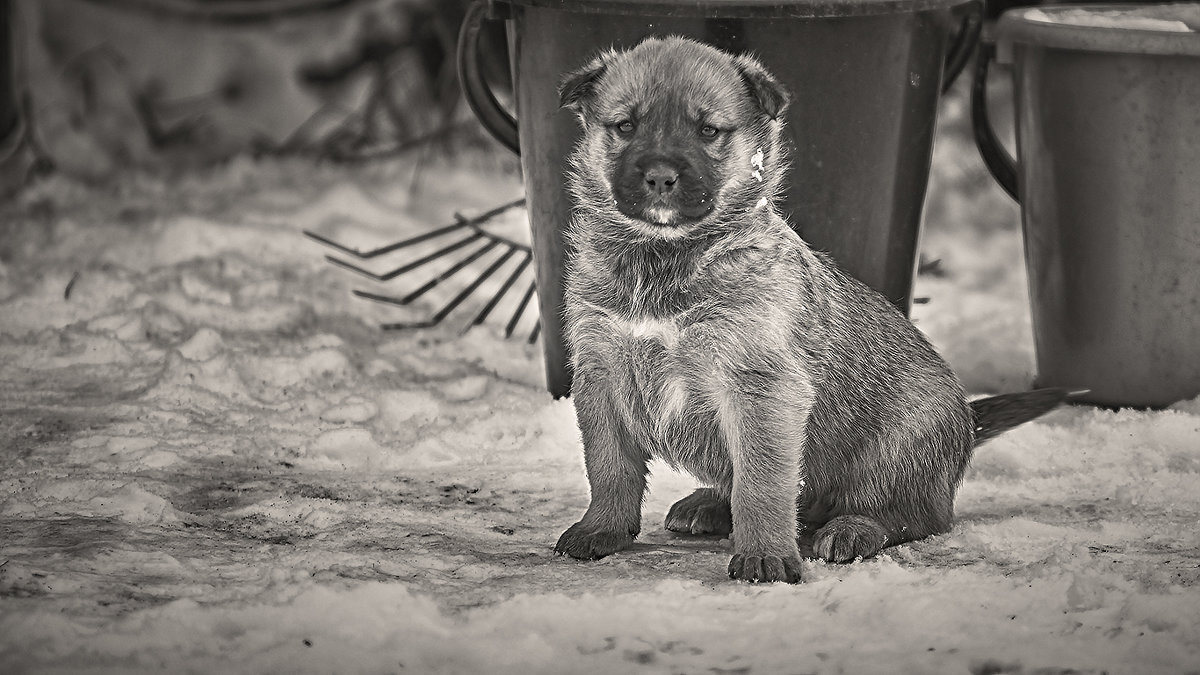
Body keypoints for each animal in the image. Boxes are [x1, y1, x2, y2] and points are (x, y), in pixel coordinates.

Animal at [552, 36, 1070, 581]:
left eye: (708, 131)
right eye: (625, 126)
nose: (659, 177)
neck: (664, 257)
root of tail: (969, 423)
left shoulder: (762, 388)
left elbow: (762, 483)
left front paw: (764, 556)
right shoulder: (601, 372)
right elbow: (609, 467)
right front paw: (601, 529)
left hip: (899, 450)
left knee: (909, 515)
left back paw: (851, 530)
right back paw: (710, 504)